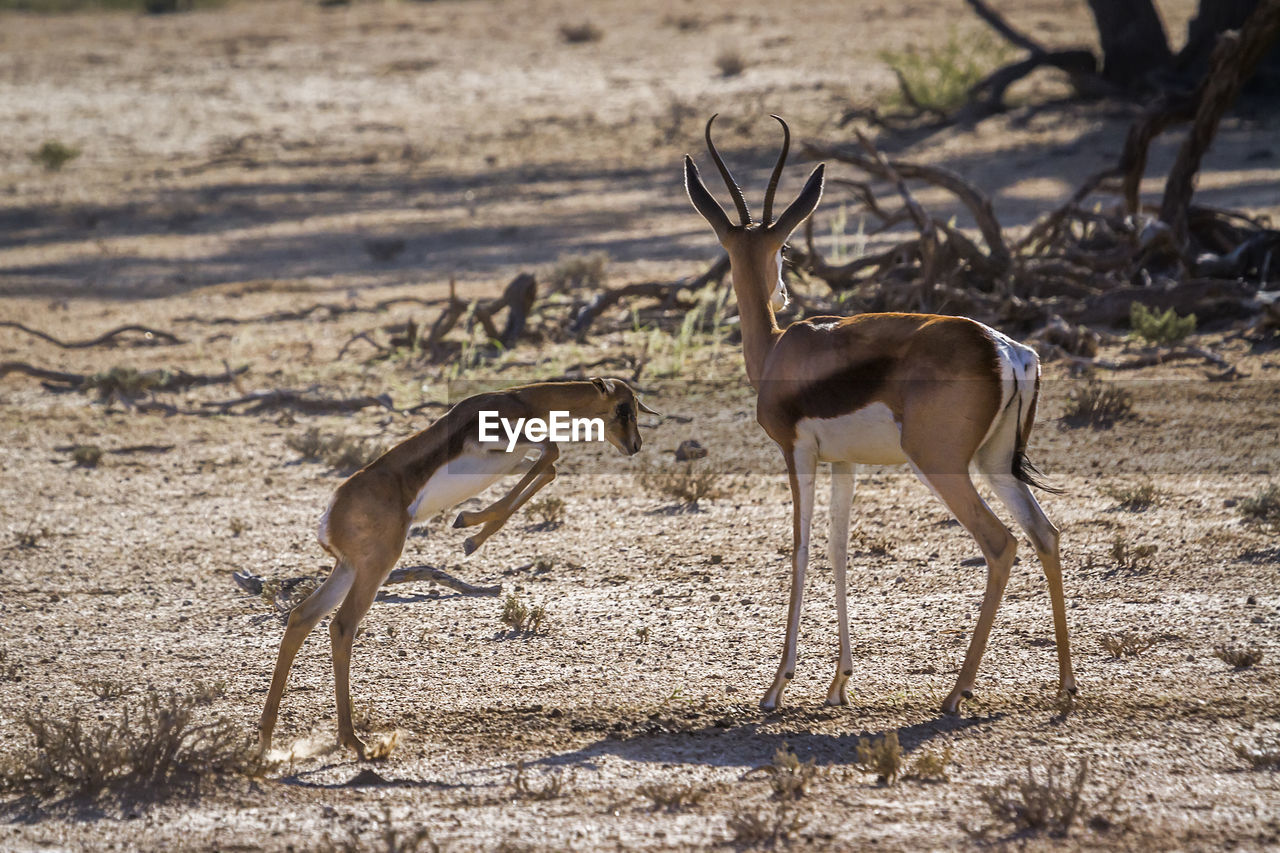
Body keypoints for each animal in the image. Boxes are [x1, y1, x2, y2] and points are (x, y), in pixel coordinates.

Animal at [259, 379, 660, 758]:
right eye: (623, 408)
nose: (635, 445)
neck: (523, 400)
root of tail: (331, 514)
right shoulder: (502, 444)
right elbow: (552, 453)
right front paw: (467, 526)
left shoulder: (514, 460)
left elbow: (548, 469)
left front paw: (470, 532)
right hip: (375, 568)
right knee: (342, 626)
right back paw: (352, 741)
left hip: (347, 570)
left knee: (301, 617)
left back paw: (267, 739)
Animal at [686, 112, 1075, 712]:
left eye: (783, 249)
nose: (781, 296)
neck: (777, 349)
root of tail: (1006, 349)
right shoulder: (845, 463)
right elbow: (839, 549)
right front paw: (838, 683)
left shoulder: (796, 452)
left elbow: (800, 549)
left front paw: (777, 687)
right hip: (994, 463)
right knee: (1045, 534)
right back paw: (1065, 687)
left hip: (941, 465)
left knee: (1002, 543)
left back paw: (957, 693)